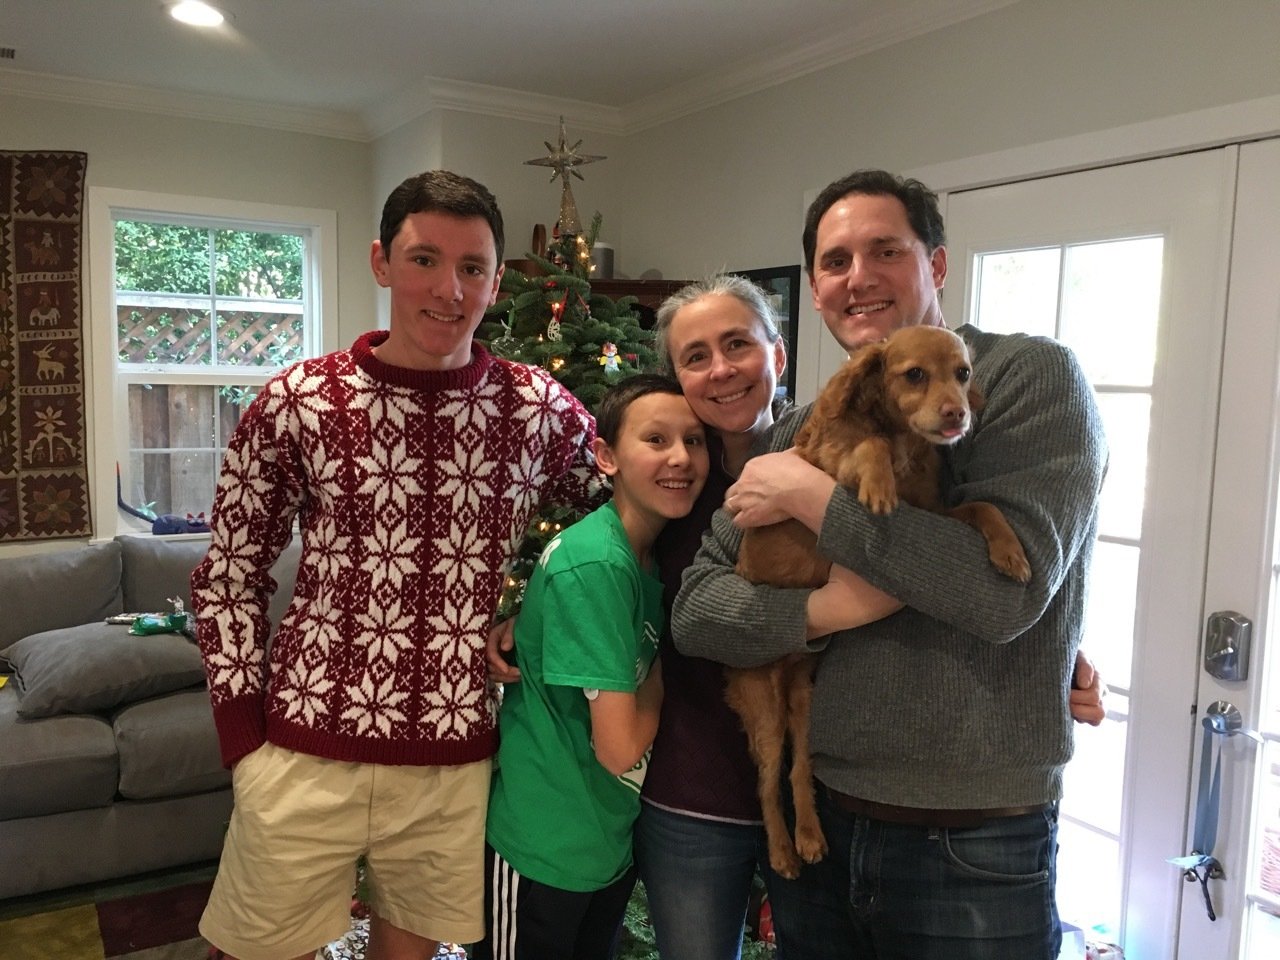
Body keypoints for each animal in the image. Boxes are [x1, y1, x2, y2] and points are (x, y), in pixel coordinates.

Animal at [727, 324, 1031, 879]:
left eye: (963, 373)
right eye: (914, 375)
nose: (958, 415)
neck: (904, 440)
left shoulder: (936, 513)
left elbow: (983, 505)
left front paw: (1010, 552)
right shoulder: (825, 464)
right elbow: (869, 445)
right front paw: (878, 484)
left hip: (805, 703)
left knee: (799, 772)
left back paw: (809, 837)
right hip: (763, 705)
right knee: (766, 785)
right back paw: (781, 851)